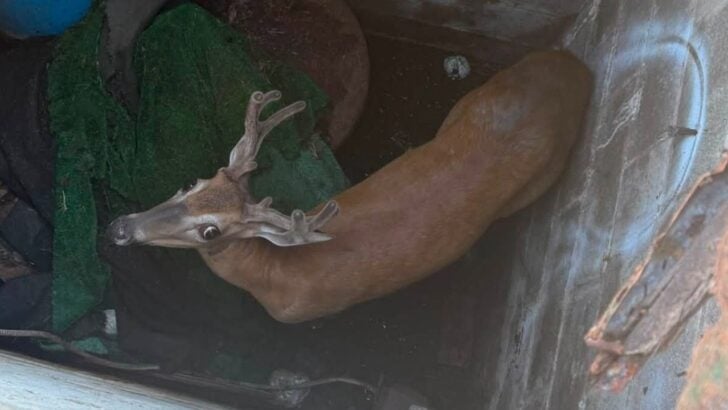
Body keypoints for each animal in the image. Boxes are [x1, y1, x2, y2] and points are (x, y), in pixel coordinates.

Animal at [108, 50, 592, 323]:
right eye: (192, 181)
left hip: (540, 181)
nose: (120, 227)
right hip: (467, 103)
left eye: (211, 230)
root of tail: (573, 65)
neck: (271, 274)